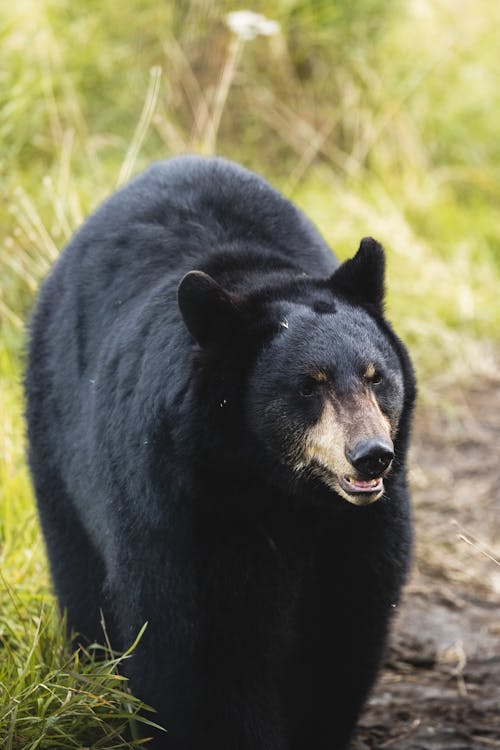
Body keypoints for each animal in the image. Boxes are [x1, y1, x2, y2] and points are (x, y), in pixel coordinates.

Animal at [25, 156, 416, 748]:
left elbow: (340, 635)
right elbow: (201, 651)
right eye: (310, 385)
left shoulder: (362, 530)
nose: (371, 455)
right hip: (58, 444)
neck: (279, 491)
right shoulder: (183, 505)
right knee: (81, 579)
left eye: (377, 377)